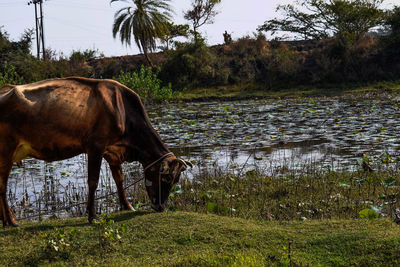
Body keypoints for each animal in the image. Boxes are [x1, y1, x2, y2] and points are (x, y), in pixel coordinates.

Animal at [0, 77, 191, 226]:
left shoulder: (112, 152)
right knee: (2, 186)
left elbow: (119, 179)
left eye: (176, 180)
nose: (161, 207)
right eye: (167, 177)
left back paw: (5, 221)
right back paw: (11, 221)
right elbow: (93, 181)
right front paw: (92, 216)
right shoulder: (95, 147)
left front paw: (127, 206)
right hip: (5, 151)